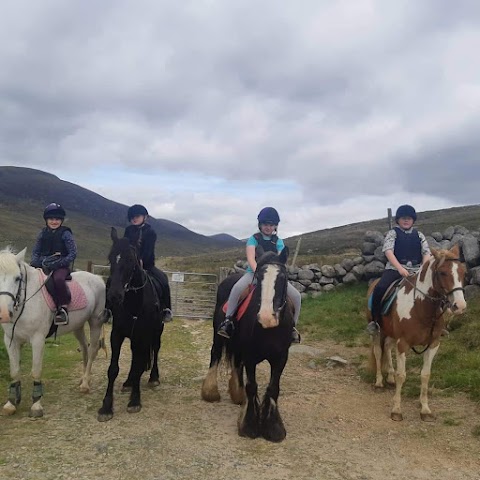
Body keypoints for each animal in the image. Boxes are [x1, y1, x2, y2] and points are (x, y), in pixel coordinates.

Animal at [0, 248, 106, 416]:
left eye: (17, 278)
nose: (4, 314)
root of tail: (97, 278)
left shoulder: (37, 340)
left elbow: (36, 371)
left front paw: (36, 405)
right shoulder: (11, 340)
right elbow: (14, 371)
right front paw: (11, 403)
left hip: (95, 322)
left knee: (92, 349)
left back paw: (85, 384)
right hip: (77, 326)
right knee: (84, 348)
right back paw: (84, 378)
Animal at [97, 228, 165, 420]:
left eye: (130, 259)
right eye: (111, 257)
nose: (114, 295)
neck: (134, 303)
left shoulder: (143, 336)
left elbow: (138, 366)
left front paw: (135, 401)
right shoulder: (117, 335)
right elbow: (113, 369)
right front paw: (106, 406)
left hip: (157, 331)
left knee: (155, 350)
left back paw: (153, 378)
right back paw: (128, 382)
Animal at [200, 248, 292, 442]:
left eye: (283, 277)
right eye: (258, 277)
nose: (266, 317)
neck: (268, 329)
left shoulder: (281, 357)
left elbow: (273, 388)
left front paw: (273, 428)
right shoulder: (251, 356)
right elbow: (252, 386)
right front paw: (249, 425)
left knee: (236, 363)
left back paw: (237, 394)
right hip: (219, 336)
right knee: (215, 355)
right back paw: (210, 392)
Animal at [368, 246, 464, 422]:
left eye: (462, 271)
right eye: (442, 273)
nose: (459, 306)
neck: (420, 307)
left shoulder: (433, 344)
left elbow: (425, 375)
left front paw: (425, 410)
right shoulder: (403, 343)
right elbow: (402, 375)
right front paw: (396, 410)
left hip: (391, 334)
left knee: (387, 348)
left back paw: (390, 377)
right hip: (377, 332)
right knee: (378, 352)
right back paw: (379, 382)